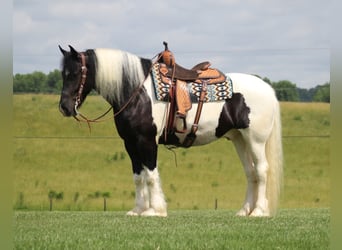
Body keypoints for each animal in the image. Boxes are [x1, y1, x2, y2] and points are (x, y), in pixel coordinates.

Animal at [58, 44, 284, 217]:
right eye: (63, 74)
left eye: (75, 73)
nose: (64, 107)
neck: (137, 92)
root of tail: (268, 88)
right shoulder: (130, 143)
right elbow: (138, 176)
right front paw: (138, 210)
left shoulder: (147, 140)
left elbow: (150, 174)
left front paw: (154, 211)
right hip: (240, 139)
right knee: (250, 172)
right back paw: (244, 211)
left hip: (255, 140)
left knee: (261, 170)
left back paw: (258, 212)